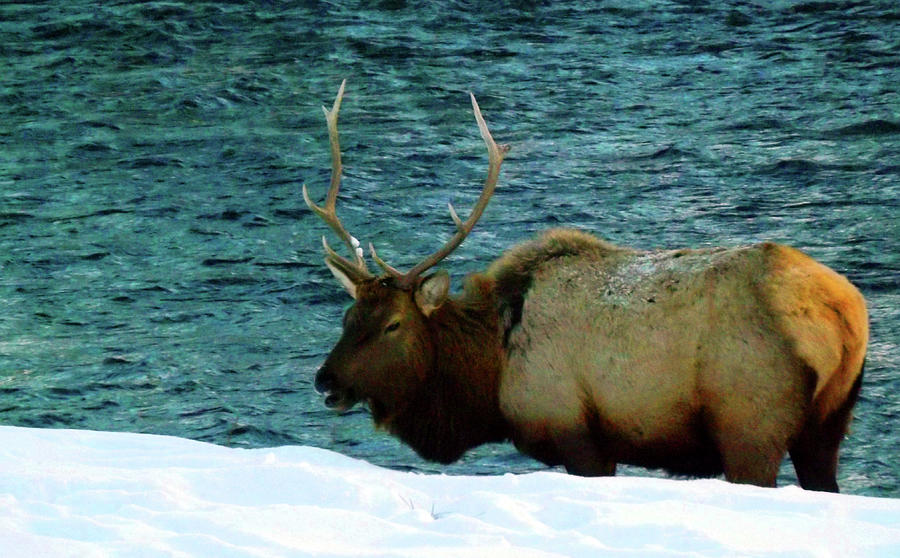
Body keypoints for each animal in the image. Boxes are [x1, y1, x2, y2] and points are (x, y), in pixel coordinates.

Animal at [306, 80, 868, 494]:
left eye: (394, 324)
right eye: (347, 317)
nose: (325, 379)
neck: (493, 371)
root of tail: (843, 314)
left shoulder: (574, 430)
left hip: (750, 420)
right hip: (828, 424)